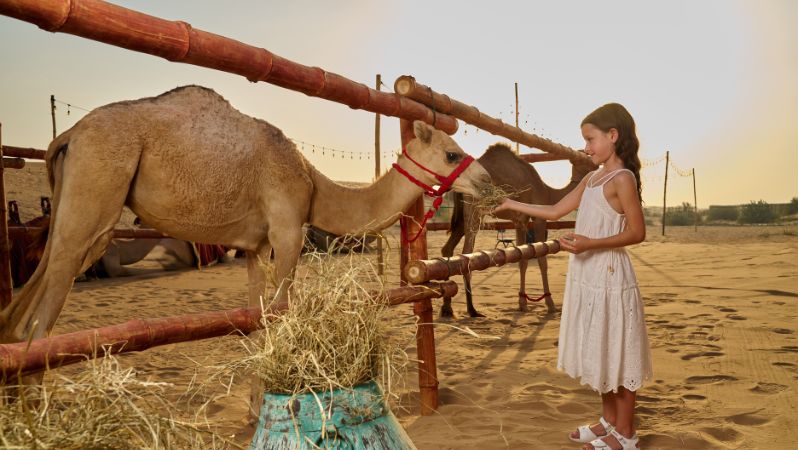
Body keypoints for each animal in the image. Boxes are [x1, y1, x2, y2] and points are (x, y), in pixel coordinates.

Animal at [0, 85, 490, 401]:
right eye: (451, 153)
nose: (486, 180)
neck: (312, 184)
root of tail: (68, 135)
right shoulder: (289, 230)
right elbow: (280, 313)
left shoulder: (255, 247)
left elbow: (256, 322)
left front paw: (258, 405)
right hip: (97, 189)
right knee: (40, 332)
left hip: (72, 208)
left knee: (23, 310)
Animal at [441, 143, 595, 317]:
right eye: (585, 159)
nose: (596, 165)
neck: (549, 193)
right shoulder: (538, 218)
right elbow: (542, 259)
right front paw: (550, 304)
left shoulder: (520, 221)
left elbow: (523, 258)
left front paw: (522, 303)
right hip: (474, 208)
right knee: (467, 252)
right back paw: (472, 309)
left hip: (462, 214)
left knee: (448, 248)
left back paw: (447, 308)